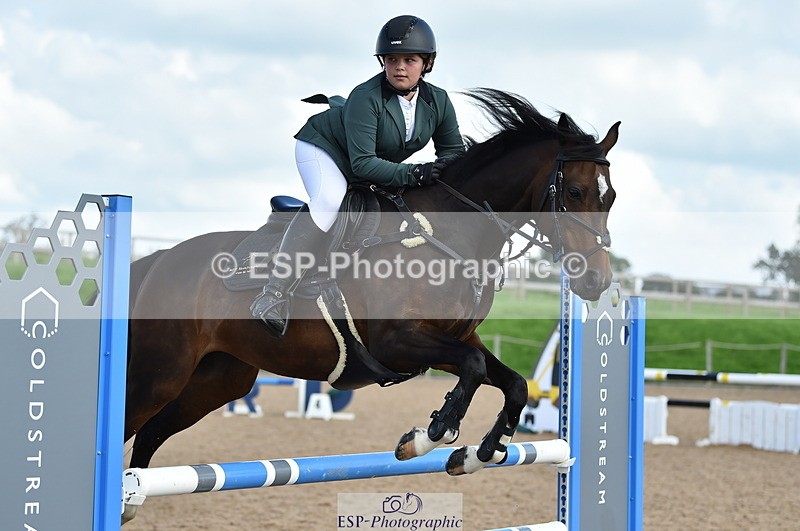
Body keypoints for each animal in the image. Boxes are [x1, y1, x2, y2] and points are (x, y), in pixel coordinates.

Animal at [125, 89, 621, 476]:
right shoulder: (397, 340)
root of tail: (158, 262)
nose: (596, 281)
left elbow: (511, 382)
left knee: (149, 436)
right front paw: (426, 437)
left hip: (219, 378)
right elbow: (475, 370)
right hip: (160, 373)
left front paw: (480, 452)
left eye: (611, 196)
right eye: (574, 192)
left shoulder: (457, 338)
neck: (449, 234)